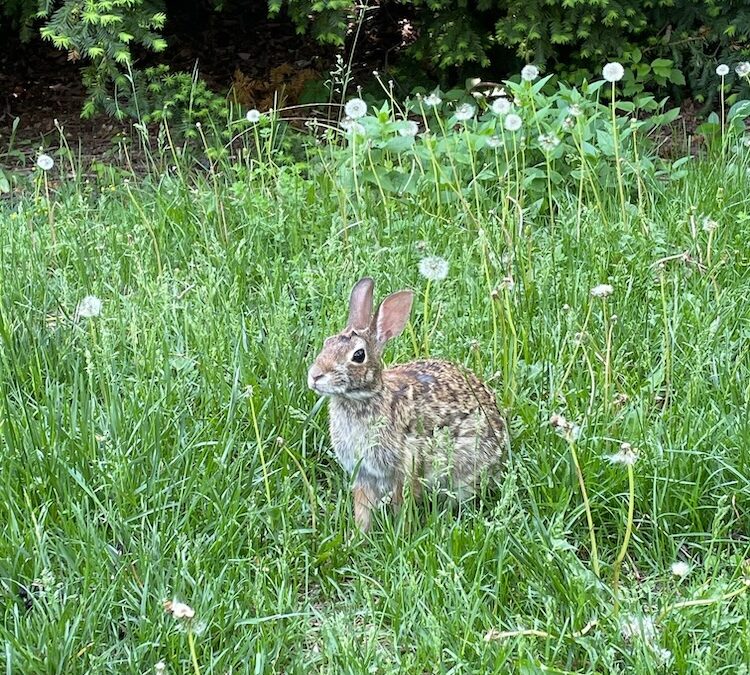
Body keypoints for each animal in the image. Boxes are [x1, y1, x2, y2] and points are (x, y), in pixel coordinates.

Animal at [306, 278, 512, 532]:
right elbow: (363, 509)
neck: (363, 397)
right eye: (327, 343)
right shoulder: (363, 474)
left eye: (358, 355)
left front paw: (400, 532)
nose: (315, 375)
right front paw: (358, 536)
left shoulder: (406, 466)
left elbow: (402, 503)